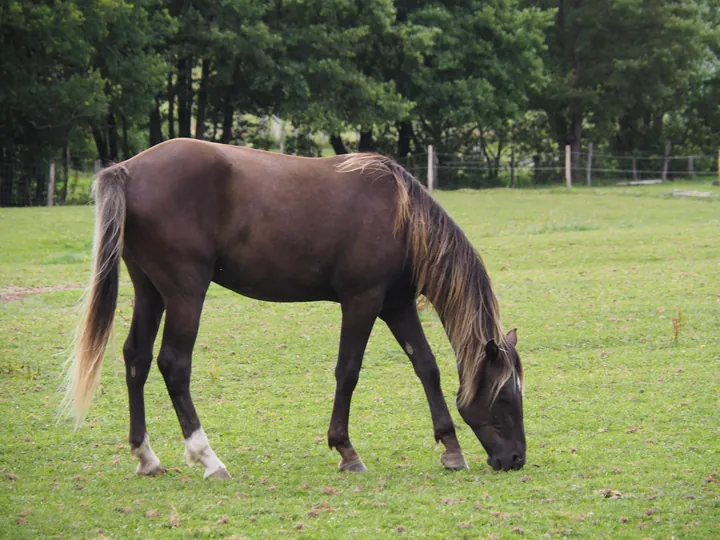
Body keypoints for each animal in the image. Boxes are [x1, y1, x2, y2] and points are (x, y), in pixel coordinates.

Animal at [63, 137, 524, 478]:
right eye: (505, 396)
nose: (516, 459)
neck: (400, 216)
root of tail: (128, 170)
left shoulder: (396, 305)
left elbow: (426, 366)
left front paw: (451, 448)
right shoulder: (362, 301)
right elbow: (348, 371)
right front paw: (346, 450)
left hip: (150, 291)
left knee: (136, 359)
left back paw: (147, 457)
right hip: (184, 293)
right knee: (174, 364)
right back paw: (208, 458)